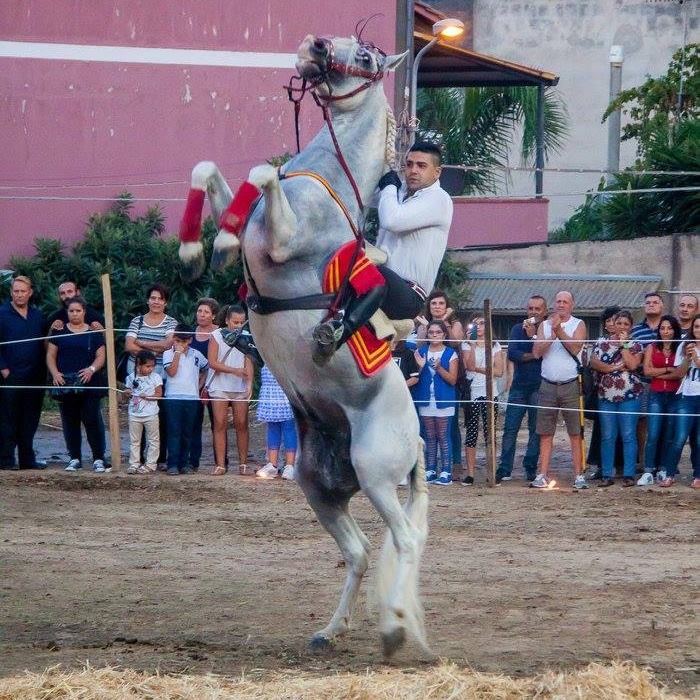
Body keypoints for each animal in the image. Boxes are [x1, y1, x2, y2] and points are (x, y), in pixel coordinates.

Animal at [178, 32, 430, 656]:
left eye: (365, 56)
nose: (314, 48)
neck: (320, 180)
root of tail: (416, 441)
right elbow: (211, 168)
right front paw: (197, 248)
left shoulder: (283, 237)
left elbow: (261, 173)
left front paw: (221, 240)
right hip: (319, 485)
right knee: (359, 552)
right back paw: (330, 631)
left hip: (377, 473)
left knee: (405, 539)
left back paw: (394, 628)